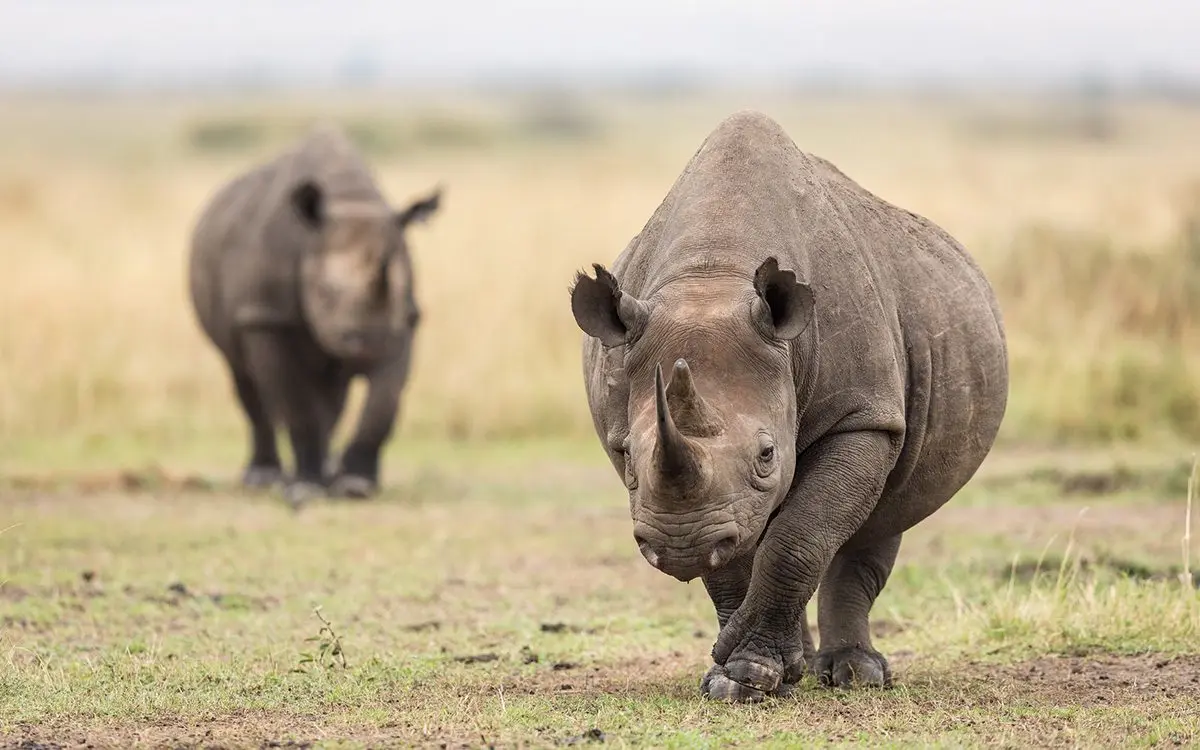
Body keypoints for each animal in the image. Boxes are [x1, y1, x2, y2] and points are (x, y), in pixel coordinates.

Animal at [188, 125, 441, 505]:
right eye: (323, 293)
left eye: (396, 290)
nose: (367, 341)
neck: (348, 201)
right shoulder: (267, 319)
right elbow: (296, 407)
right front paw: (306, 488)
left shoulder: (404, 322)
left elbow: (383, 405)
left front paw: (355, 485)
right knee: (243, 376)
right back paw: (265, 478)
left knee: (331, 392)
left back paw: (327, 474)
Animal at [570, 111, 1008, 702]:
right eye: (627, 457)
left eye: (767, 455)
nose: (680, 547)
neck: (711, 277)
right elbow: (736, 554)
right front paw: (742, 677)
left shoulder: (863, 416)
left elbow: (796, 539)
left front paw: (747, 672)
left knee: (875, 522)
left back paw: (855, 676)